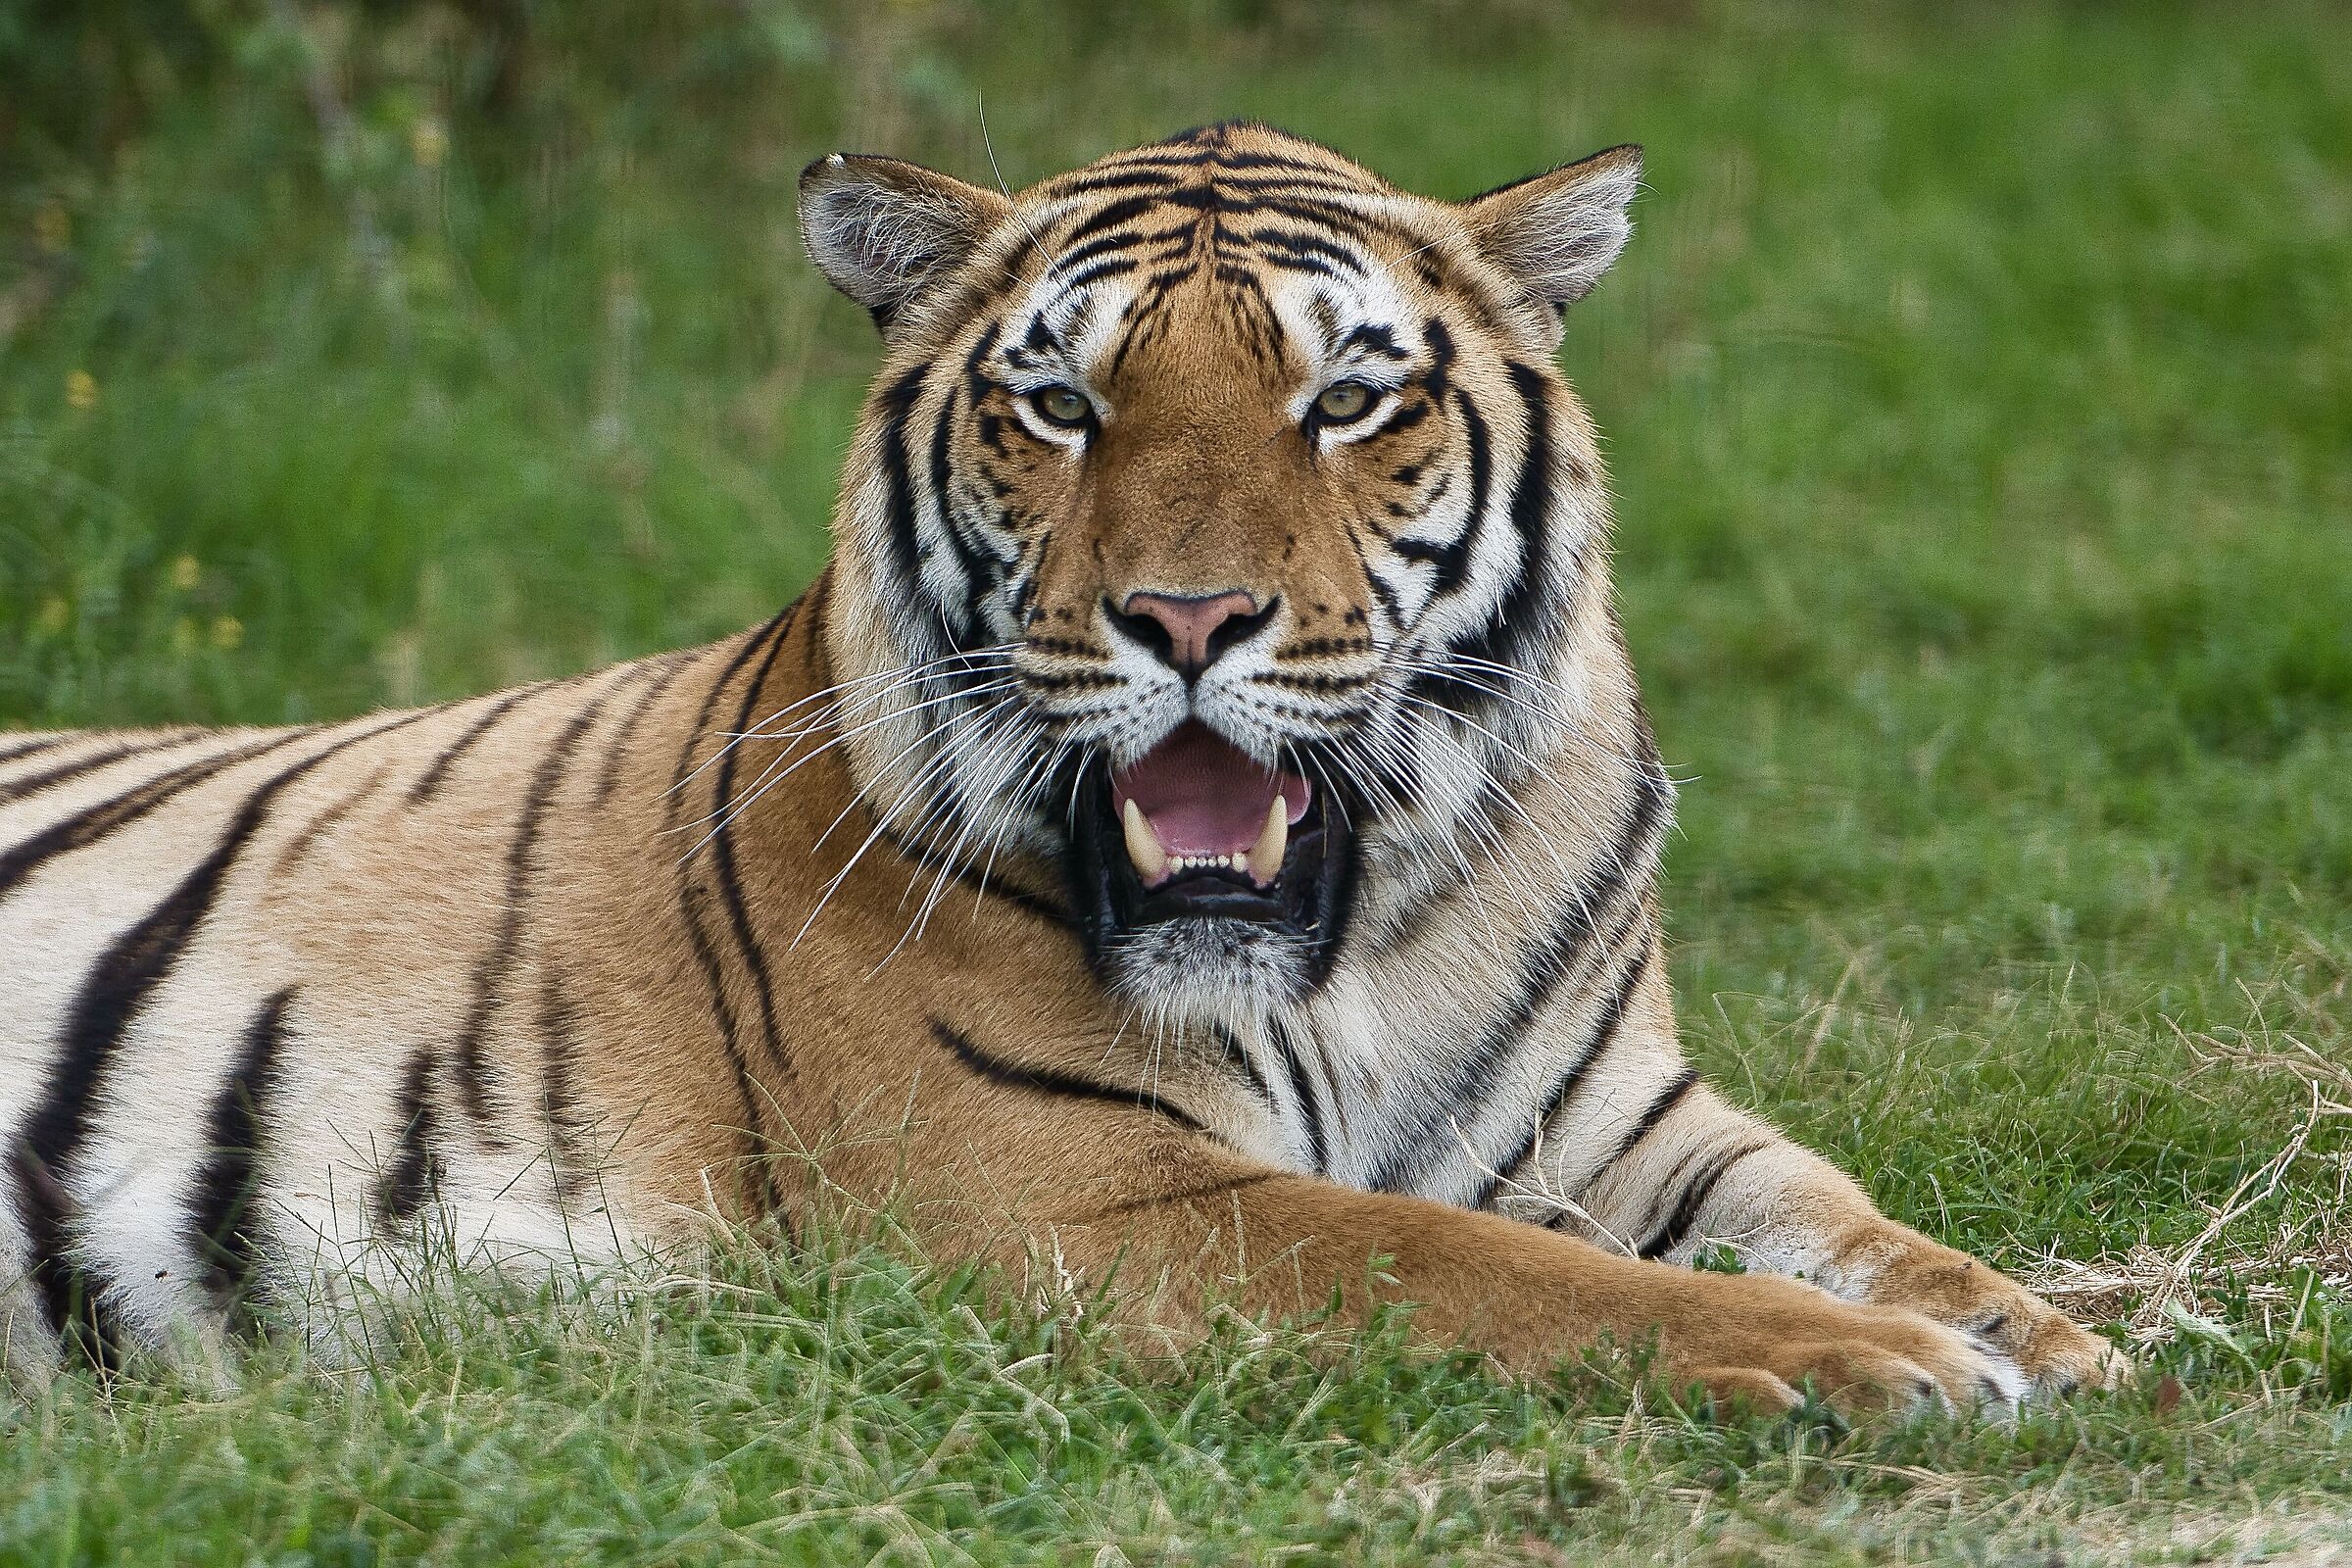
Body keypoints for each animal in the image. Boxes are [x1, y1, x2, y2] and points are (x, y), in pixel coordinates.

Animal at [0, 121, 2119, 1409]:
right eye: (1059, 402)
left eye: (1348, 397)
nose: (1188, 619)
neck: (1359, 944)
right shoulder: (1065, 1196)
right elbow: (1471, 1266)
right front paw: (1870, 1365)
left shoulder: (1615, 1120)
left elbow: (1858, 1219)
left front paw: (2056, 1336)